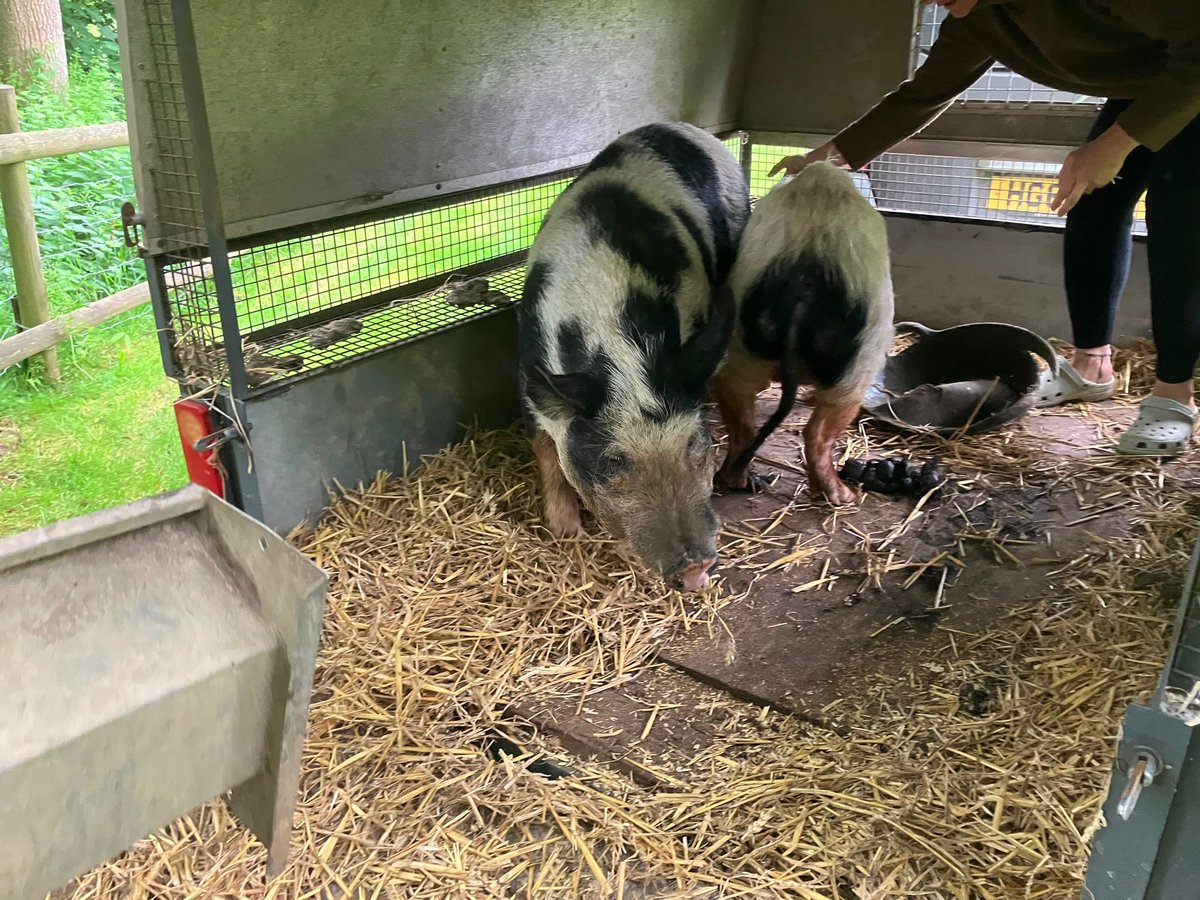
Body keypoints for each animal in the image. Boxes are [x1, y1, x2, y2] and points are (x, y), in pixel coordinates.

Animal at [517, 122, 750, 591]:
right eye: (614, 461)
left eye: (695, 443)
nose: (696, 570)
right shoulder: (530, 371)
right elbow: (544, 446)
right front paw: (566, 533)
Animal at [710, 162, 895, 504]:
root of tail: (804, 276)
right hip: (861, 363)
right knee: (820, 430)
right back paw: (841, 496)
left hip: (740, 347)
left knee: (742, 417)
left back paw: (732, 481)